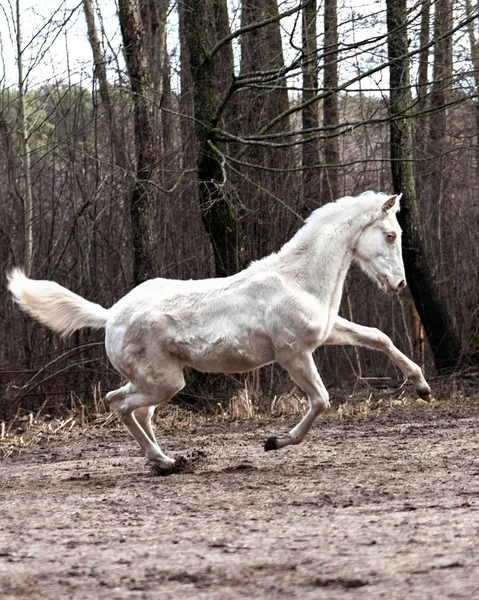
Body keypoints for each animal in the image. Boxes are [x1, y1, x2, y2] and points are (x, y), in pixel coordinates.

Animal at [5, 190, 434, 472]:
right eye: (391, 234)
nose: (399, 284)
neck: (299, 280)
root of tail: (110, 315)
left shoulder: (326, 334)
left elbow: (379, 337)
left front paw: (423, 387)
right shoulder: (294, 354)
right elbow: (322, 401)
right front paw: (274, 442)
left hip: (155, 381)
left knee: (134, 409)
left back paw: (167, 460)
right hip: (164, 382)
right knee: (119, 404)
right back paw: (163, 461)